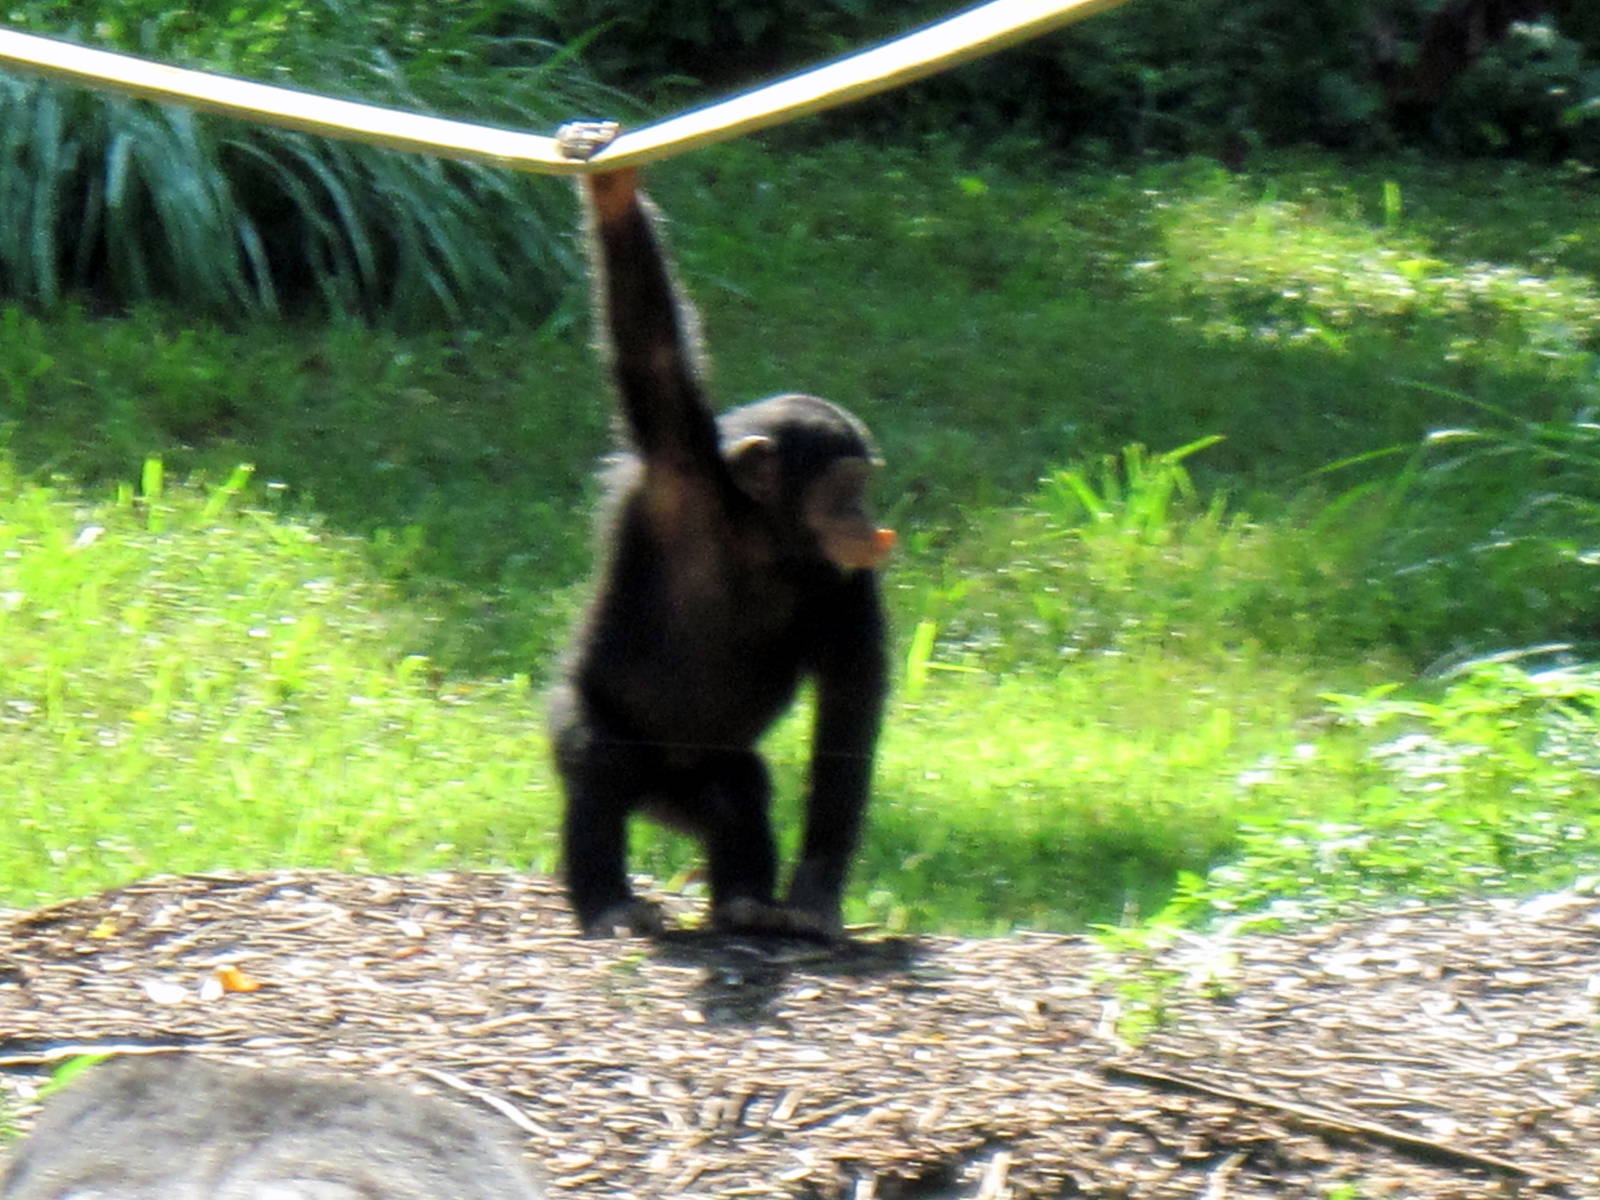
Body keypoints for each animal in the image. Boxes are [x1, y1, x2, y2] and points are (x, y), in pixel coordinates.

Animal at [548, 122, 895, 941]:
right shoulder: (678, 462)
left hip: (703, 778)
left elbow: (848, 711)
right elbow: (649, 346)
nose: (867, 519)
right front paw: (609, 189)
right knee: (599, 761)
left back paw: (744, 902)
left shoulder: (849, 581)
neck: (760, 533)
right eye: (847, 488)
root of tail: (663, 802)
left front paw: (814, 896)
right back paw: (607, 900)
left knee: (738, 790)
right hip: (600, 729)